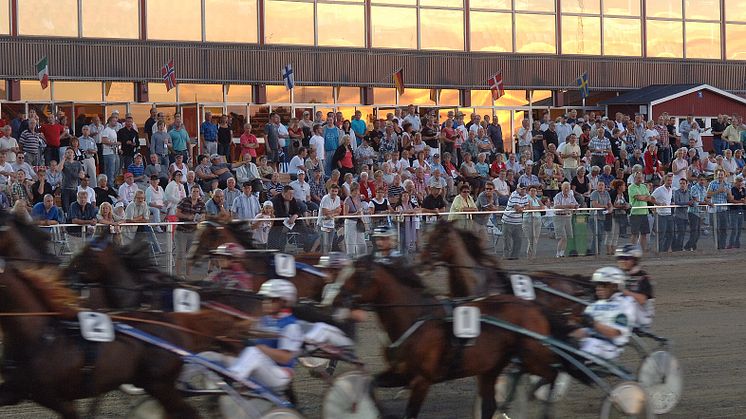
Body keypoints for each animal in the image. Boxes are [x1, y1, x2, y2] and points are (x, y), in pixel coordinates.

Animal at [332, 256, 560, 419]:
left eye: (358, 275)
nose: (336, 299)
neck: (415, 317)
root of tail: (533, 306)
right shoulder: (399, 373)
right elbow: (371, 383)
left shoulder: (422, 380)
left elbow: (410, 413)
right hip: (490, 368)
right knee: (491, 404)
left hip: (533, 355)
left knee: (552, 373)